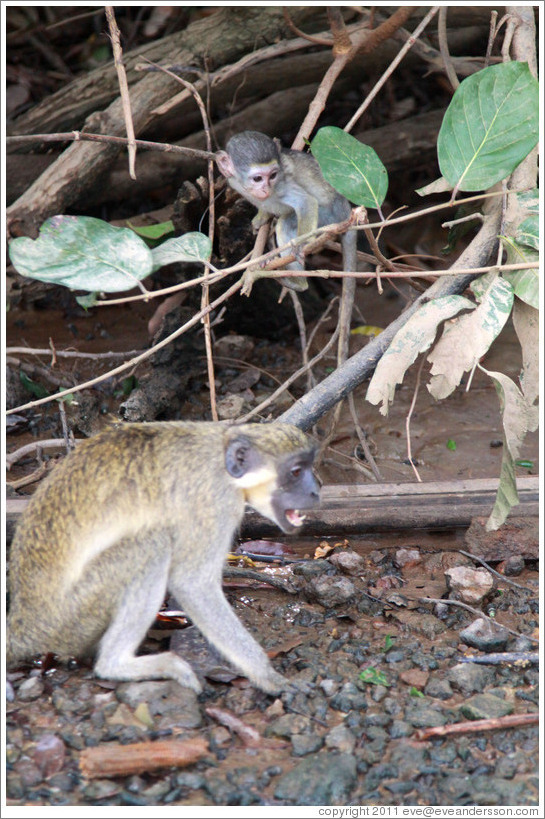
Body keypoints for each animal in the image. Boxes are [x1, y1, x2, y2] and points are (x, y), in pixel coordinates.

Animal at [6, 422, 320, 700]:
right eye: (295, 471)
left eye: (308, 466)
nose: (316, 490)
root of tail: (23, 623)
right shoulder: (215, 502)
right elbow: (193, 584)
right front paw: (269, 677)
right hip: (73, 615)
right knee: (152, 545)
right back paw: (117, 664)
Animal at [215, 130, 354, 294]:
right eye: (257, 179)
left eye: (273, 175)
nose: (266, 189)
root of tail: (345, 206)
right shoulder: (232, 181)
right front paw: (261, 217)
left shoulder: (281, 185)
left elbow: (306, 202)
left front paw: (301, 245)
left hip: (329, 216)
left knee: (284, 224)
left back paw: (298, 283)